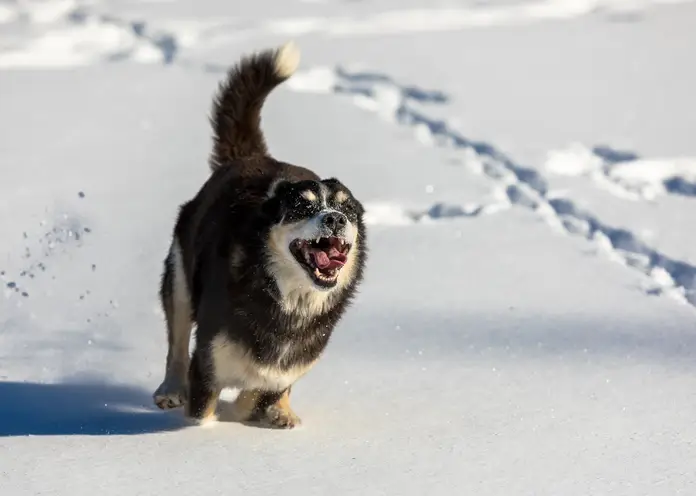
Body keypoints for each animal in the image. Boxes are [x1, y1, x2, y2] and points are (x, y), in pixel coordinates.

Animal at [152, 41, 368, 430]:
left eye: (348, 210)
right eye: (302, 207)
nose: (335, 219)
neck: (290, 301)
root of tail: (248, 157)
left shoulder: (291, 362)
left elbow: (264, 388)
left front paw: (263, 409)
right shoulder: (208, 363)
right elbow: (204, 410)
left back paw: (281, 411)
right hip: (179, 278)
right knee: (176, 342)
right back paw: (170, 389)